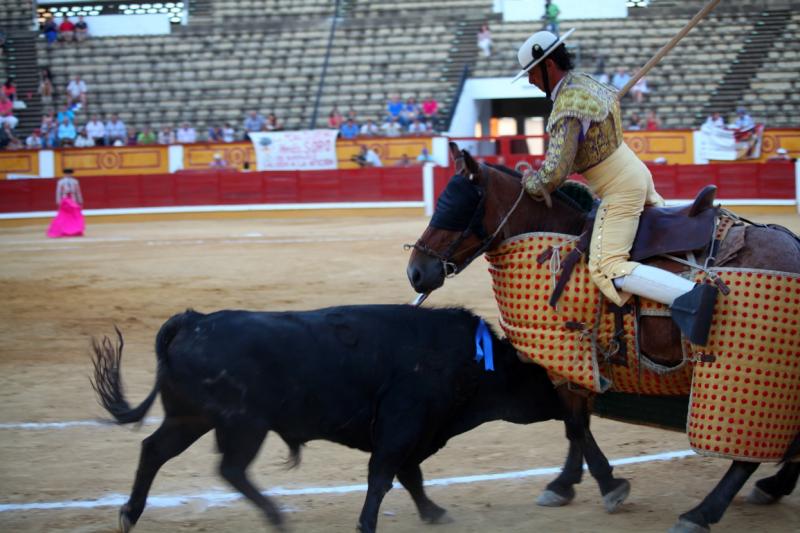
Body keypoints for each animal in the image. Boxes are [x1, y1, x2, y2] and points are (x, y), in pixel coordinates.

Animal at [92, 306, 564, 528]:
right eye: (542, 374)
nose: (570, 404)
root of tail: (194, 321)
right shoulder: (403, 424)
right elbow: (386, 475)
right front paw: (367, 524)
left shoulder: (411, 431)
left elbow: (409, 476)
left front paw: (433, 512)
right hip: (244, 424)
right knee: (230, 468)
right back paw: (277, 517)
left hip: (189, 418)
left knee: (154, 450)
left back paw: (129, 514)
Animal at [406, 141, 800, 532]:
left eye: (457, 207)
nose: (416, 273)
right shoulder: (576, 364)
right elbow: (575, 423)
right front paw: (563, 484)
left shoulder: (566, 352)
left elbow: (576, 423)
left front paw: (608, 485)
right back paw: (771, 486)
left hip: (747, 375)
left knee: (747, 457)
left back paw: (701, 513)